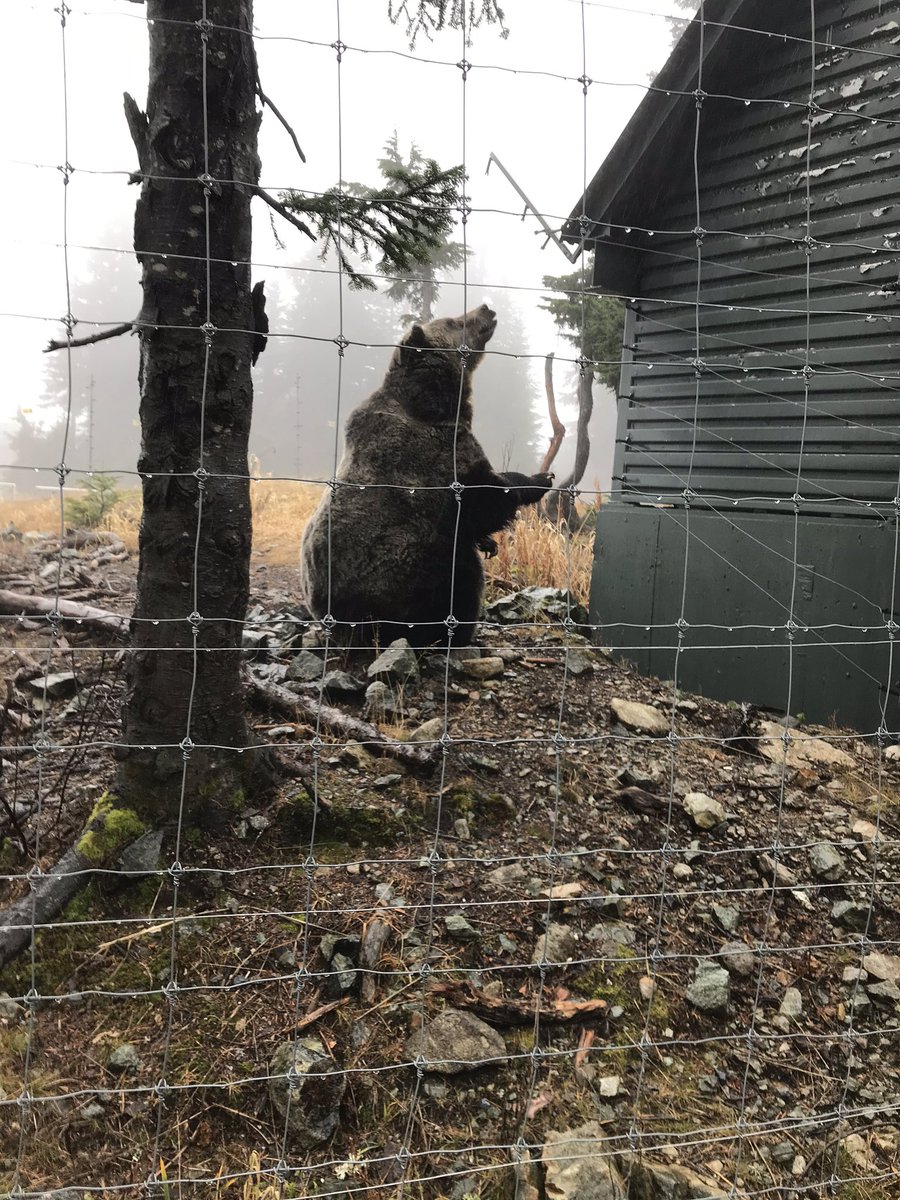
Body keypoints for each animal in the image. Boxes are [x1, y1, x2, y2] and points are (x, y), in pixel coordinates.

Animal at [300, 303, 553, 648]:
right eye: (455, 321)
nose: (486, 308)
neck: (434, 405)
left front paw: (490, 541)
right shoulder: (434, 457)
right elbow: (485, 499)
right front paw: (539, 479)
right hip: (407, 576)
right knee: (460, 577)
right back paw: (455, 633)